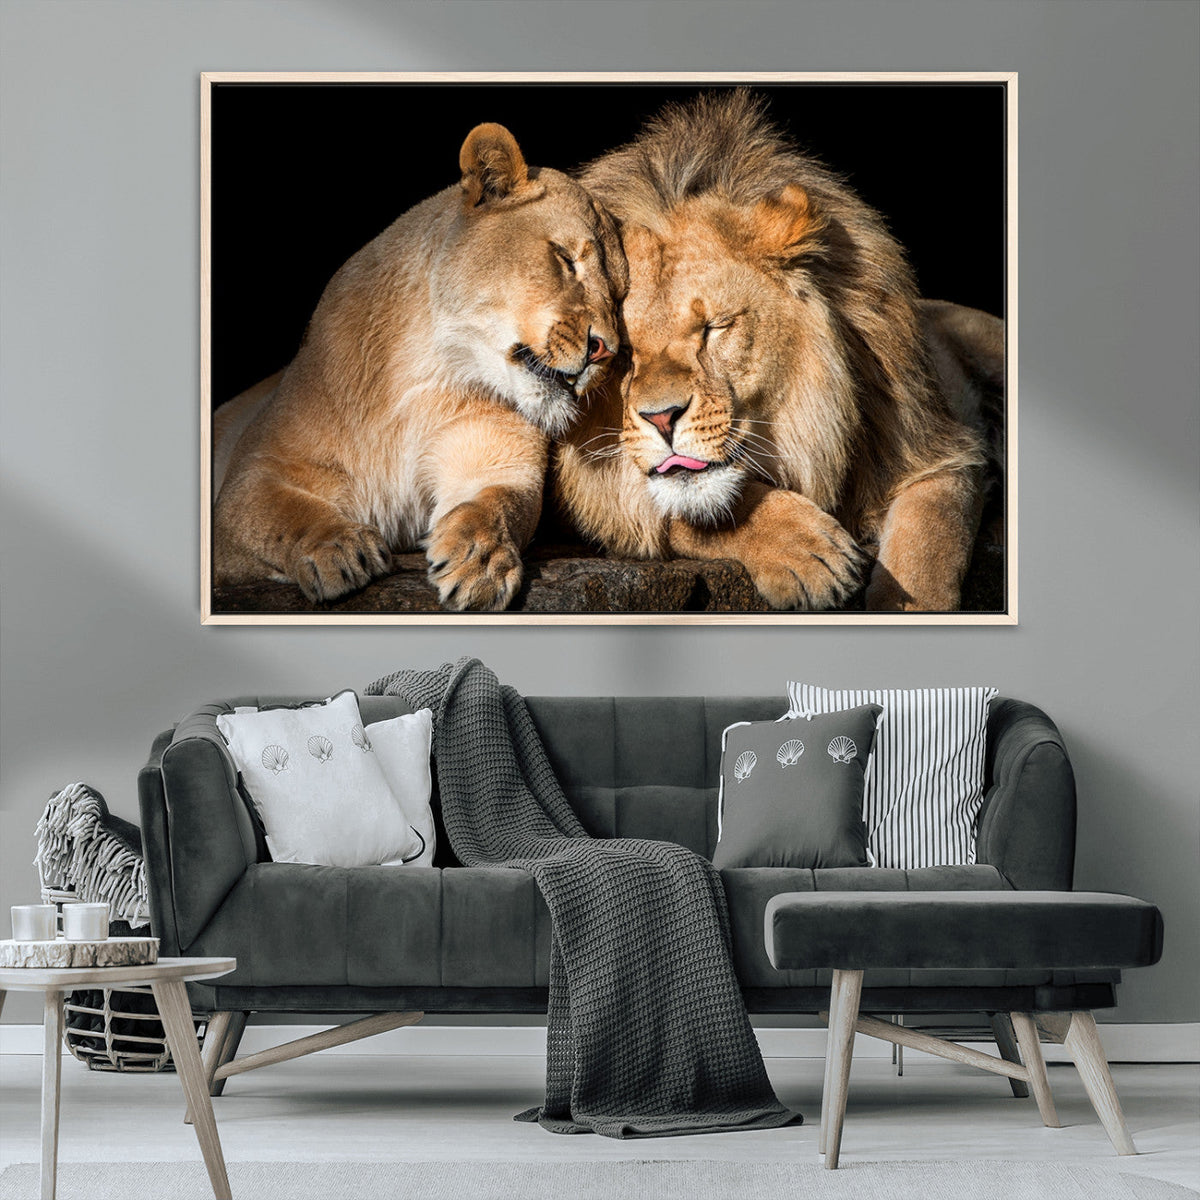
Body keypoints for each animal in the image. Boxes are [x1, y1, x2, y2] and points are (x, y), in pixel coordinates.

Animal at [212, 123, 626, 610]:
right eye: (564, 258)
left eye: (620, 296)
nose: (605, 350)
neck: (426, 374)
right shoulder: (251, 477)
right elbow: (281, 513)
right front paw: (337, 548)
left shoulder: (499, 462)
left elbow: (496, 506)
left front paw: (480, 561)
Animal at [553, 92, 998, 612]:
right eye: (621, 353)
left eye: (715, 328)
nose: (662, 418)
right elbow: (690, 507)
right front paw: (808, 552)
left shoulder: (938, 447)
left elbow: (927, 547)